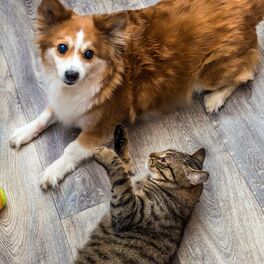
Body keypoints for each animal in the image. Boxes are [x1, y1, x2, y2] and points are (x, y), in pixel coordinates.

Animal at [8, 0, 264, 190]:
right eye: (62, 48)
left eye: (89, 54)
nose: (71, 75)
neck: (88, 83)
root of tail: (247, 6)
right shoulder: (64, 101)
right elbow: (45, 115)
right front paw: (23, 132)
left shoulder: (102, 126)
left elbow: (72, 148)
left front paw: (53, 170)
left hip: (207, 74)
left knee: (248, 71)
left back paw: (215, 99)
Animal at [75, 125, 209, 264]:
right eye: (165, 150)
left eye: (163, 160)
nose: (151, 153)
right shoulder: (131, 183)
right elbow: (123, 164)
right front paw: (120, 136)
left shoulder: (127, 212)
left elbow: (118, 168)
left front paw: (103, 153)